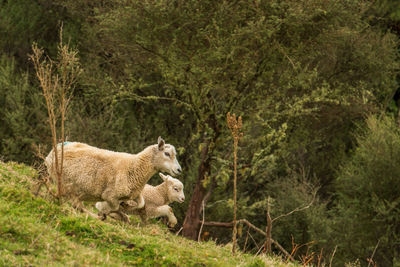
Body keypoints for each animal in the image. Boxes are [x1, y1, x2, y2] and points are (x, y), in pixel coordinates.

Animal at [45, 137, 181, 221]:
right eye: (167, 154)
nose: (179, 170)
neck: (134, 167)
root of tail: (53, 150)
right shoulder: (110, 195)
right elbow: (114, 207)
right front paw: (105, 210)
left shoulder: (135, 193)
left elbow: (141, 203)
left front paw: (126, 206)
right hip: (68, 186)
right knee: (77, 205)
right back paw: (98, 216)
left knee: (76, 205)